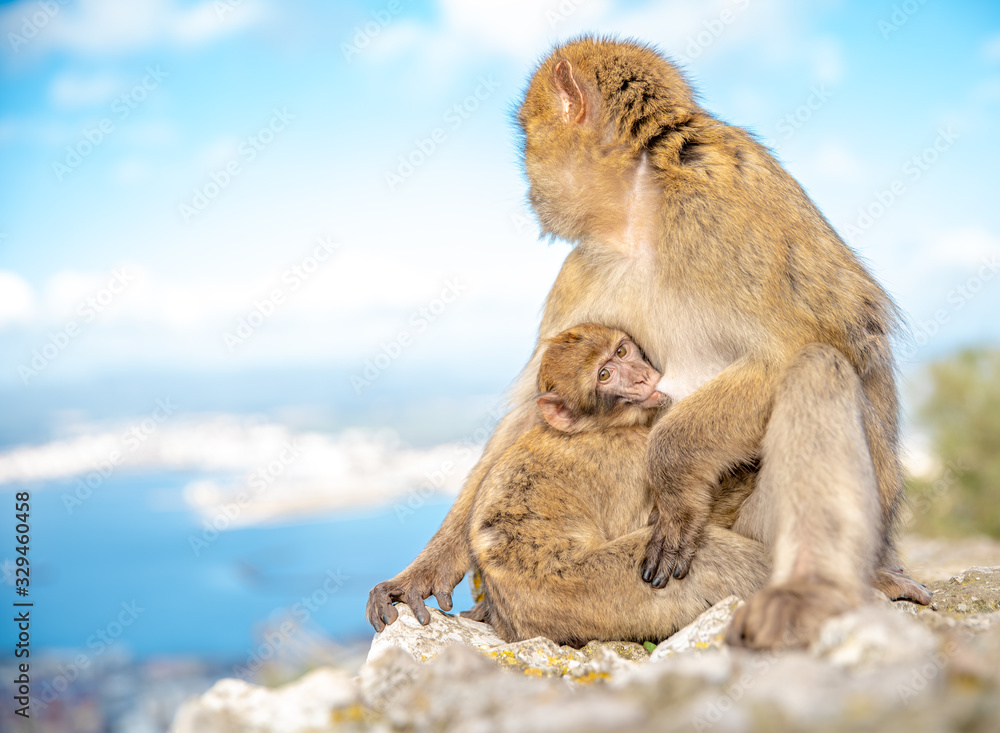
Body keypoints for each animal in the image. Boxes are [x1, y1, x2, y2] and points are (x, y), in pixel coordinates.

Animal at [467, 323, 769, 645]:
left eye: (622, 351)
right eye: (604, 376)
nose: (640, 377)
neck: (601, 427)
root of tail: (513, 625)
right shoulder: (629, 458)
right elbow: (649, 525)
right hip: (593, 591)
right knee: (714, 556)